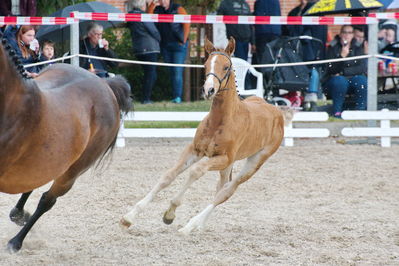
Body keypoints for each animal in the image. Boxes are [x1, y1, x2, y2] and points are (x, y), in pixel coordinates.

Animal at [120, 37, 290, 233]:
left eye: (226, 67)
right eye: (206, 64)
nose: (209, 90)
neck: (221, 121)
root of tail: (276, 111)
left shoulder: (222, 157)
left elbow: (196, 171)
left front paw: (170, 213)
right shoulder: (195, 150)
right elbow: (168, 176)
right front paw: (129, 217)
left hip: (254, 162)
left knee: (226, 192)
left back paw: (189, 227)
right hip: (228, 165)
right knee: (221, 187)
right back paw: (199, 225)